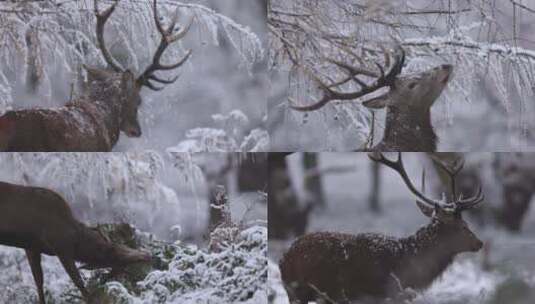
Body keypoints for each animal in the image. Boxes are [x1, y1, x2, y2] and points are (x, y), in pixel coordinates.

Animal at [0, 180, 153, 304]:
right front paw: (90, 298)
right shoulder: (61, 247)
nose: (146, 255)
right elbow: (77, 280)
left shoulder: (32, 247)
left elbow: (39, 280)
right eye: (114, 249)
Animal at [280, 152, 486, 304]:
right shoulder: (381, 294)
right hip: (301, 291)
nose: (480, 243)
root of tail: (285, 257)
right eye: (461, 226)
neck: (406, 269)